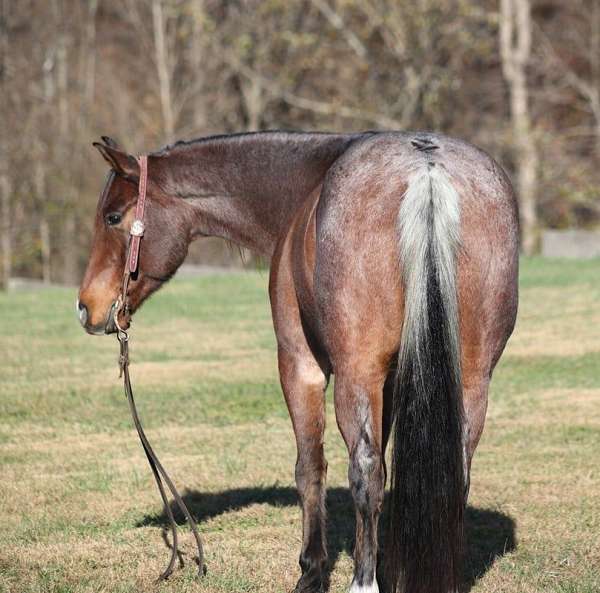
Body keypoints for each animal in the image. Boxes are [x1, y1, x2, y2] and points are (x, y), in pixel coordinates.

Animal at [78, 132, 520, 592]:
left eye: (112, 217)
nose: (86, 307)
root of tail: (427, 172)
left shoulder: (300, 365)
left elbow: (311, 467)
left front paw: (311, 569)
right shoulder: (392, 377)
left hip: (356, 374)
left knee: (364, 471)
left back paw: (362, 581)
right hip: (470, 379)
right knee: (454, 471)